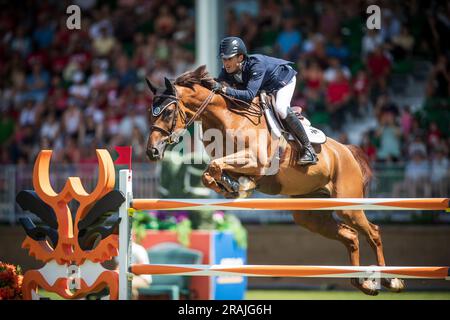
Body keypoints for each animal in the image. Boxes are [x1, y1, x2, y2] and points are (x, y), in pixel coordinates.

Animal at [146, 64, 406, 296]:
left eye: (167, 112)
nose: (152, 152)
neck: (227, 118)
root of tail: (347, 152)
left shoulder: (256, 160)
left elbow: (214, 167)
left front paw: (238, 186)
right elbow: (210, 173)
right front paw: (233, 186)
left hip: (347, 205)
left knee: (373, 232)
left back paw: (391, 280)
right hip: (310, 215)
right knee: (350, 236)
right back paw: (364, 284)